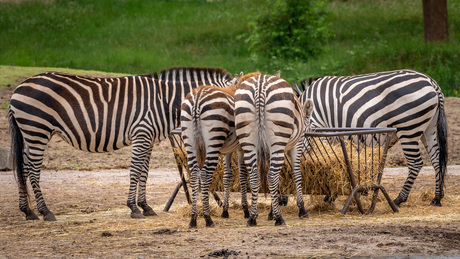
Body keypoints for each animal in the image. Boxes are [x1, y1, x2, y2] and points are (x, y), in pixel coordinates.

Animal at [8, 67, 234, 221]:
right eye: (230, 102)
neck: (164, 101)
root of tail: (18, 88)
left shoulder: (148, 139)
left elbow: (144, 173)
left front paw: (145, 206)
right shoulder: (141, 134)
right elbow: (134, 171)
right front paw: (133, 208)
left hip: (30, 133)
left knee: (24, 168)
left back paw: (28, 211)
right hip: (37, 130)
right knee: (33, 170)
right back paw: (45, 211)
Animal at [235, 72, 314, 226]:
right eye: (310, 131)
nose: (308, 153)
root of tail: (260, 86)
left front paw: (271, 211)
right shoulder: (297, 144)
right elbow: (296, 174)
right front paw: (301, 209)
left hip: (248, 140)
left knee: (255, 176)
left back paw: (252, 218)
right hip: (277, 138)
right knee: (271, 176)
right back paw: (279, 218)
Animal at [296, 68, 448, 207]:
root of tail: (431, 81)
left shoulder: (323, 131)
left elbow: (328, 162)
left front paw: (330, 195)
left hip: (408, 128)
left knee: (415, 163)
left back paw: (399, 199)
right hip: (428, 129)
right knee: (436, 160)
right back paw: (437, 198)